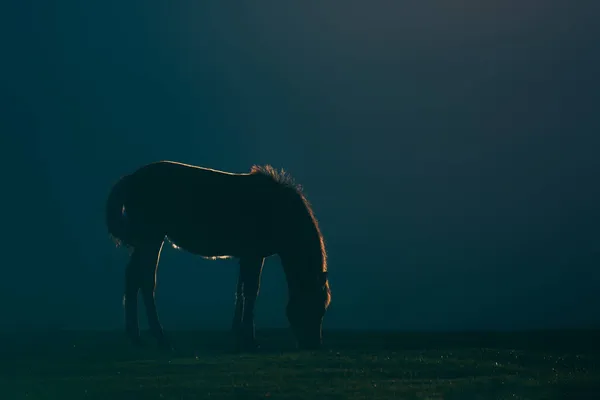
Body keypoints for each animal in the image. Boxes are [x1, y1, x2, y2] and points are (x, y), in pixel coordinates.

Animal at [103, 161, 328, 352]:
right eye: (312, 306)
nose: (313, 345)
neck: (277, 209)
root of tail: (133, 178)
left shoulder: (246, 256)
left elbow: (240, 291)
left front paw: (238, 333)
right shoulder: (254, 256)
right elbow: (251, 291)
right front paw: (249, 339)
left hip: (145, 241)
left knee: (132, 278)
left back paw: (136, 336)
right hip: (151, 239)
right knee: (146, 281)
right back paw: (160, 338)